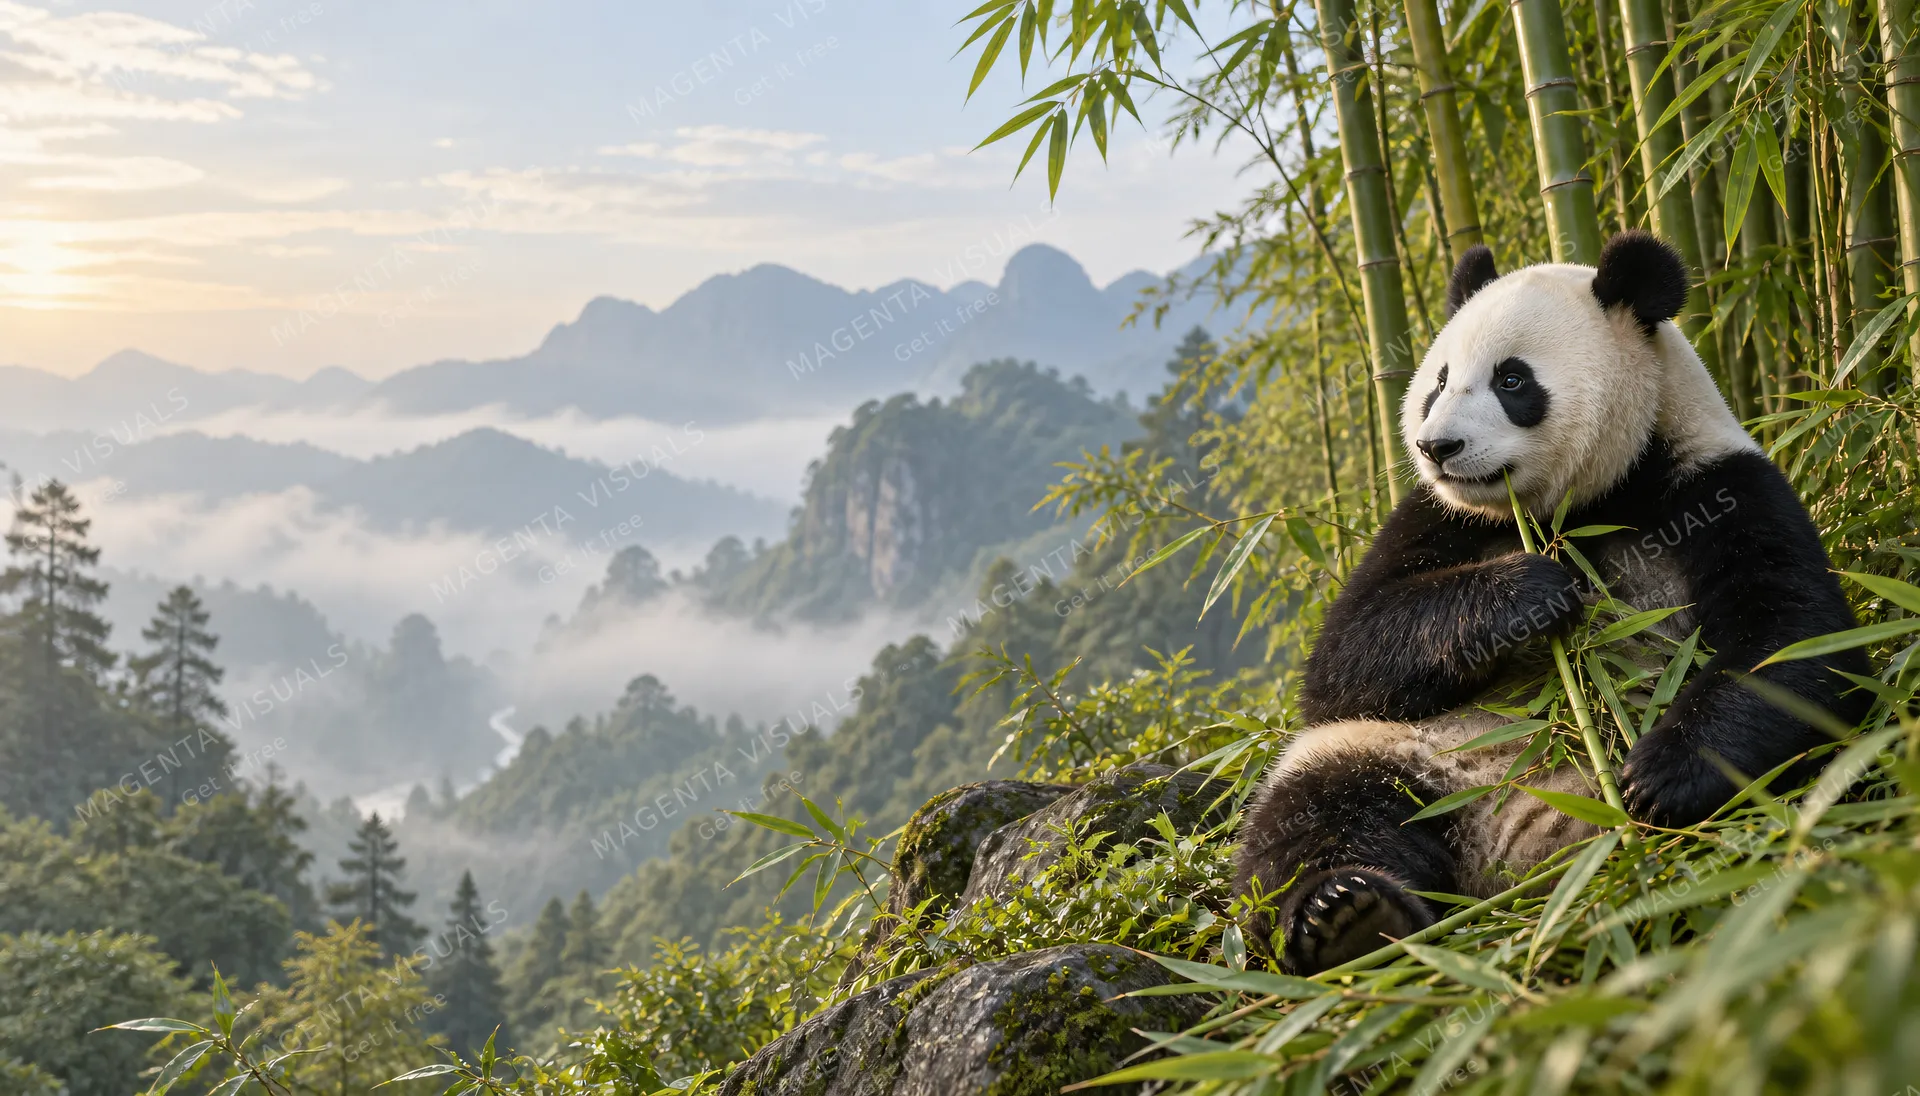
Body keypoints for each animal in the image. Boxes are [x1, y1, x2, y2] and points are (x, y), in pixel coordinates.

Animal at [1234, 231, 1869, 974]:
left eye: (1512, 381)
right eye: (1439, 381)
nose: (1437, 447)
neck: (1584, 506)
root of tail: (1508, 860)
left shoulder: (1718, 483)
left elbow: (1796, 636)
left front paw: (1657, 778)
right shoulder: (1438, 518)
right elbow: (1343, 658)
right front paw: (1534, 593)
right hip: (1394, 755)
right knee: (1313, 817)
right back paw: (1348, 917)